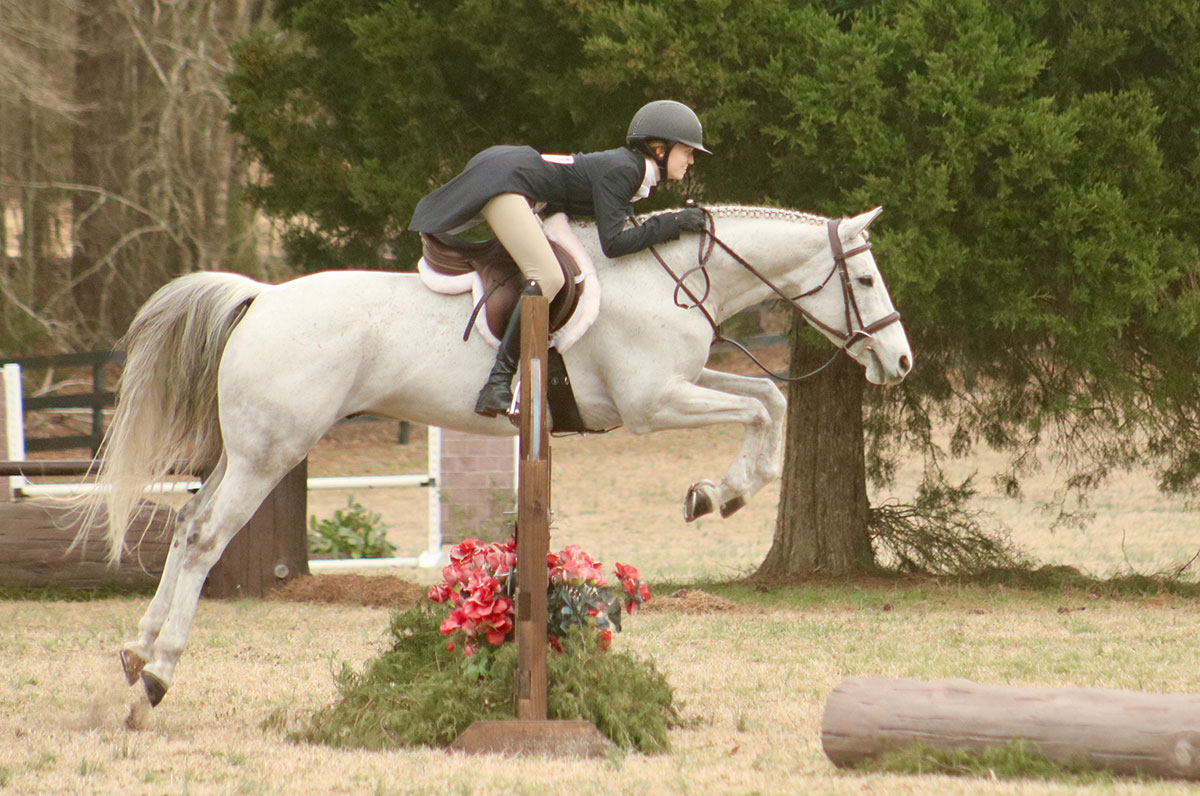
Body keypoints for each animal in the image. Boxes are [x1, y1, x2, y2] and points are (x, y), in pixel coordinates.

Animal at [87, 203, 912, 707]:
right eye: (867, 278)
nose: (901, 363)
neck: (668, 278)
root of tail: (261, 297)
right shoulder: (652, 404)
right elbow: (759, 408)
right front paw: (720, 493)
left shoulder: (677, 384)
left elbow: (770, 402)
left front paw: (719, 493)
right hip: (273, 452)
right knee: (204, 537)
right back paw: (160, 671)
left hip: (247, 450)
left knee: (185, 525)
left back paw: (136, 649)